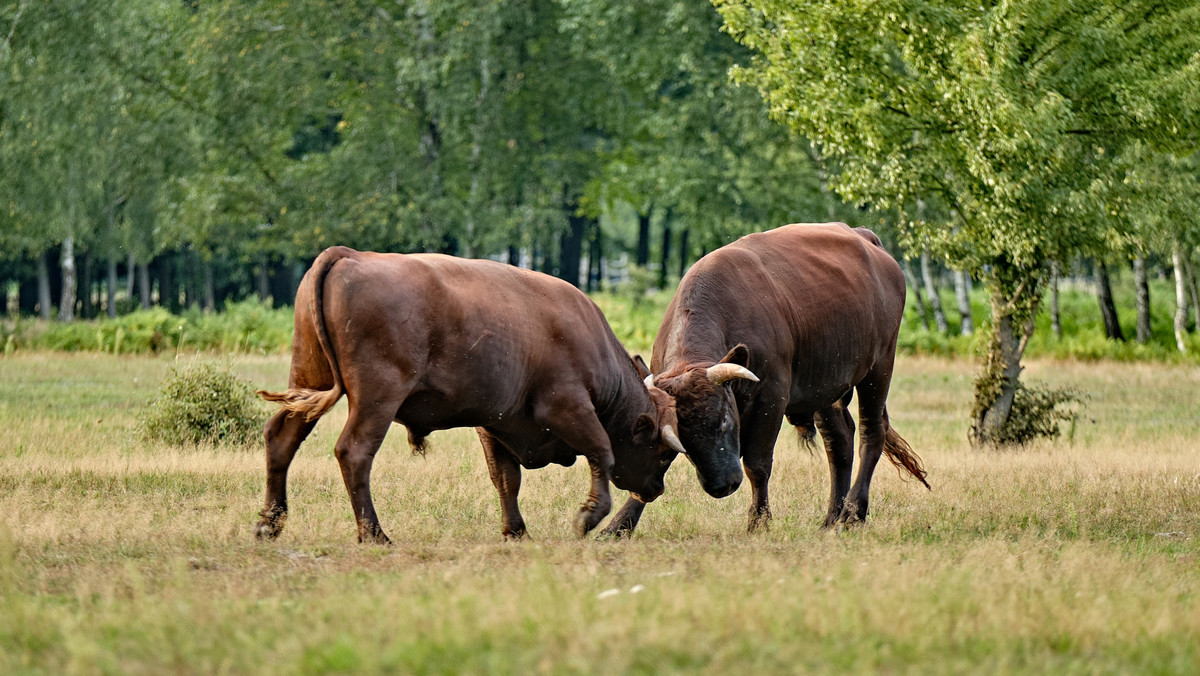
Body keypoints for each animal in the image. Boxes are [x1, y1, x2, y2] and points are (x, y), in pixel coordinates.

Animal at [255, 247, 686, 545]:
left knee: (282, 438)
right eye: (663, 453)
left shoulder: (495, 423)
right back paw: (375, 534)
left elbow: (506, 478)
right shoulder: (568, 406)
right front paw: (589, 516)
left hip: (309, 381)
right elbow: (601, 450)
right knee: (354, 452)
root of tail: (349, 255)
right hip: (376, 399)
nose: (654, 490)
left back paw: (269, 523)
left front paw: (516, 532)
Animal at [604, 224, 931, 537]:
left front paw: (759, 521)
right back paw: (831, 518)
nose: (722, 485)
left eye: (725, 420)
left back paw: (853, 513)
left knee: (871, 433)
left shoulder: (771, 398)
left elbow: (757, 465)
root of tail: (864, 236)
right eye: (683, 438)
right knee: (838, 440)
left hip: (879, 367)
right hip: (827, 382)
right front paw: (619, 525)